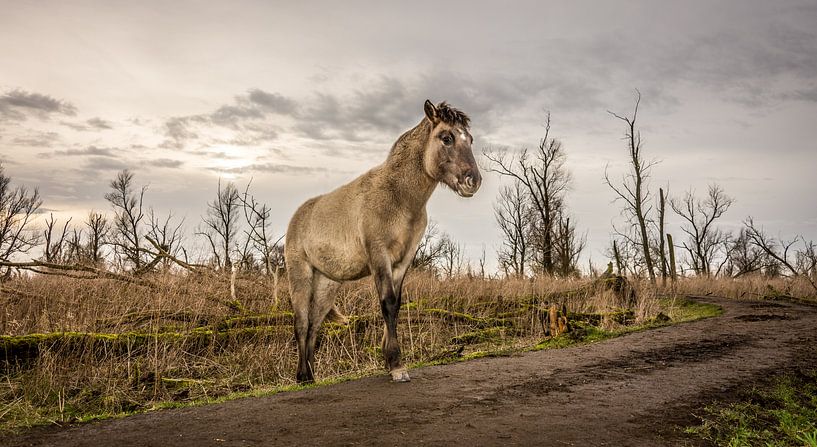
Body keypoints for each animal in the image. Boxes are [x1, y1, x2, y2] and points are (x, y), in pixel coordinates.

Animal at [285, 100, 481, 383]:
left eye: (471, 139)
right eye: (447, 138)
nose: (472, 181)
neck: (398, 197)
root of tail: (298, 216)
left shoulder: (404, 260)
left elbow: (396, 305)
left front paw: (390, 361)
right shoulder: (379, 256)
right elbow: (387, 302)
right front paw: (397, 366)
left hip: (326, 284)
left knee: (314, 324)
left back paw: (310, 376)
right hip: (300, 276)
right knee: (301, 322)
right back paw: (302, 376)